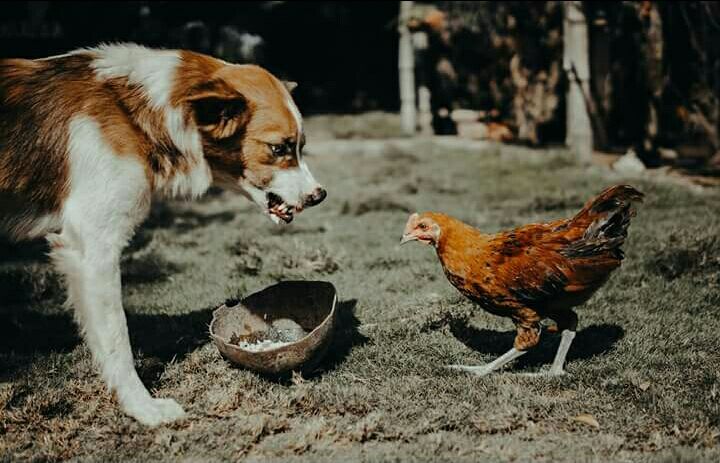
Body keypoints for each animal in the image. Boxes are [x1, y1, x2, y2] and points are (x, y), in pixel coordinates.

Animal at [0, 45, 326, 426]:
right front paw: (142, 407)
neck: (135, 114)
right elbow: (117, 340)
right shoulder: (93, 250)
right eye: (279, 148)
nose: (320, 195)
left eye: (300, 146)